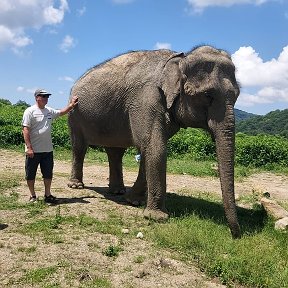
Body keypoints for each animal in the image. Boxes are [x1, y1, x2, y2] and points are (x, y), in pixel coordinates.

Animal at [67, 45, 241, 238]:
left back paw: (118, 191)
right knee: (79, 147)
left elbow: (148, 148)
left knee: (115, 152)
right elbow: (155, 147)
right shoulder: (146, 97)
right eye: (207, 95)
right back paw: (76, 186)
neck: (180, 60)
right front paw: (157, 217)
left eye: (237, 95)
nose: (235, 235)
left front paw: (133, 200)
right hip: (74, 115)